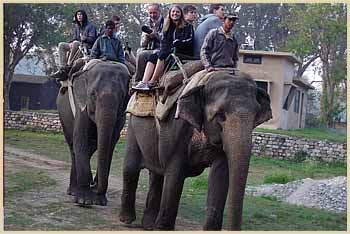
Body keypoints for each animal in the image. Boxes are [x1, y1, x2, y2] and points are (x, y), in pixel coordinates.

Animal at [56, 61, 130, 206]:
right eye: (92, 94)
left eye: (122, 96)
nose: (93, 184)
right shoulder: (81, 105)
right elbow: (80, 137)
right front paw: (85, 201)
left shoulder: (121, 116)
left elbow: (111, 143)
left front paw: (99, 201)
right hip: (63, 114)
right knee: (73, 146)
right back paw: (73, 192)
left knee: (90, 148)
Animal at [119, 70, 272, 230]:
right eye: (220, 115)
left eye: (255, 115)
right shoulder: (176, 127)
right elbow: (175, 175)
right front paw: (163, 228)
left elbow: (220, 175)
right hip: (133, 125)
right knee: (131, 168)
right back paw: (127, 220)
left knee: (157, 174)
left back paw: (148, 225)